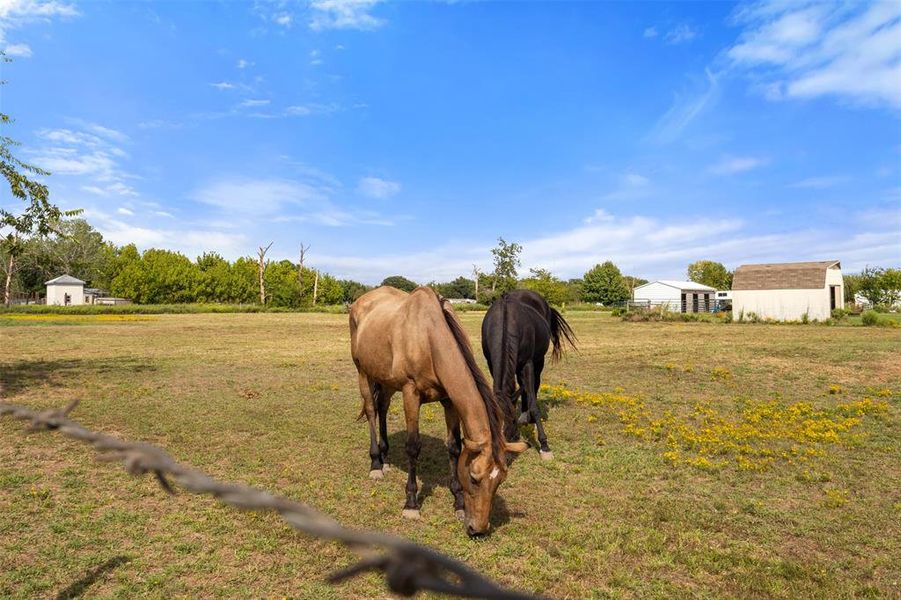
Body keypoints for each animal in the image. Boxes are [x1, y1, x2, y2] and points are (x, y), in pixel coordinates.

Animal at [349, 285, 527, 537]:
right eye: (474, 478)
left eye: (499, 480)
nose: (478, 529)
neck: (429, 338)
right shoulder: (410, 393)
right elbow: (413, 447)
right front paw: (411, 503)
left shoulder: (449, 400)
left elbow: (454, 447)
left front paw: (458, 503)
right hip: (363, 372)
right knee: (372, 410)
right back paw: (376, 463)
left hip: (386, 380)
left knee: (382, 407)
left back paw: (385, 457)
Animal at [481, 290, 577, 460]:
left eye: (510, 423)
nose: (502, 453)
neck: (505, 321)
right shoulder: (491, 363)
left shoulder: (528, 363)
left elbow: (533, 404)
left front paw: (544, 446)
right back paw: (524, 415)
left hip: (538, 361)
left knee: (534, 385)